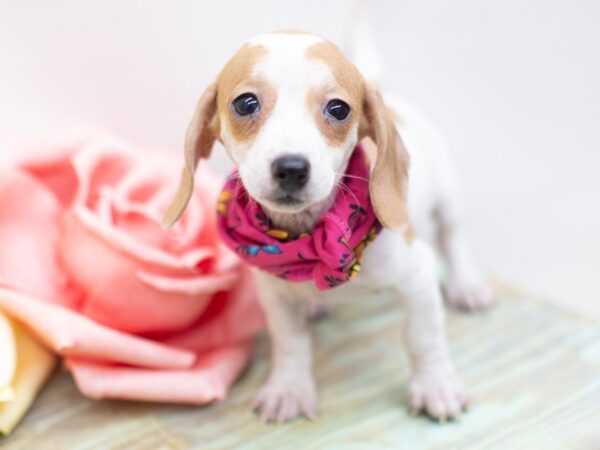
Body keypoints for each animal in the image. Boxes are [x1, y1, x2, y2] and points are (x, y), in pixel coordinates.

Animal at [163, 30, 492, 422]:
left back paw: (467, 285)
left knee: (454, 239)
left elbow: (423, 338)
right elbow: (291, 343)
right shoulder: (275, 296)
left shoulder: (418, 278)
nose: (291, 168)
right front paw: (289, 388)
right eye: (245, 104)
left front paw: (435, 385)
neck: (309, 240)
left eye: (338, 109)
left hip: (447, 203)